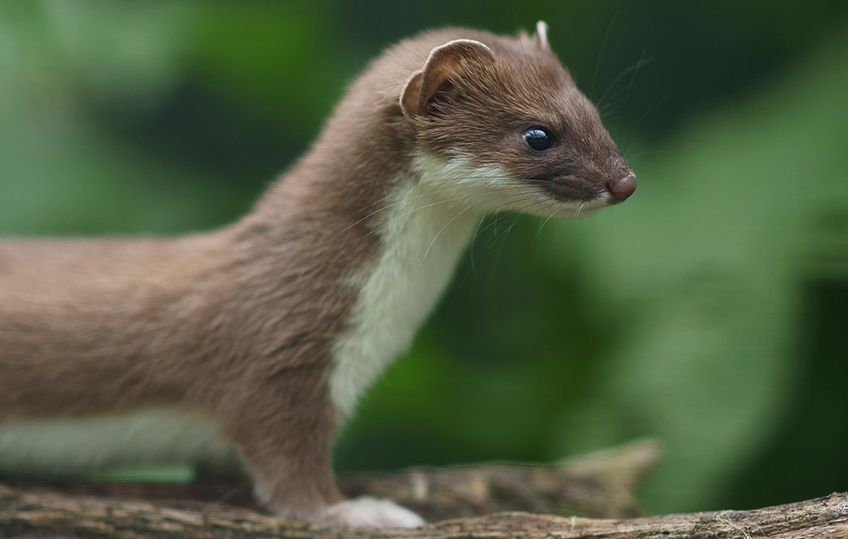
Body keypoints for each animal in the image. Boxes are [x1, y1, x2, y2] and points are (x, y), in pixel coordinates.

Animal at [0, 24, 628, 528]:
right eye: (538, 134)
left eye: (595, 111)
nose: (624, 181)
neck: (383, 318)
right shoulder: (279, 355)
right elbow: (288, 468)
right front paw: (362, 510)